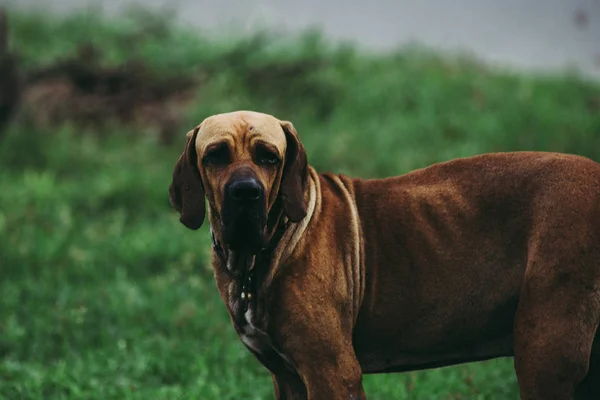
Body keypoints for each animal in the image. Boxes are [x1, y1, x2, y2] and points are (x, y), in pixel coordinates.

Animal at [168, 110, 600, 400]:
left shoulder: (333, 374)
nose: (246, 193)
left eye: (269, 156)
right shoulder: (288, 378)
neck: (263, 254)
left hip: (543, 354)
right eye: (215, 155)